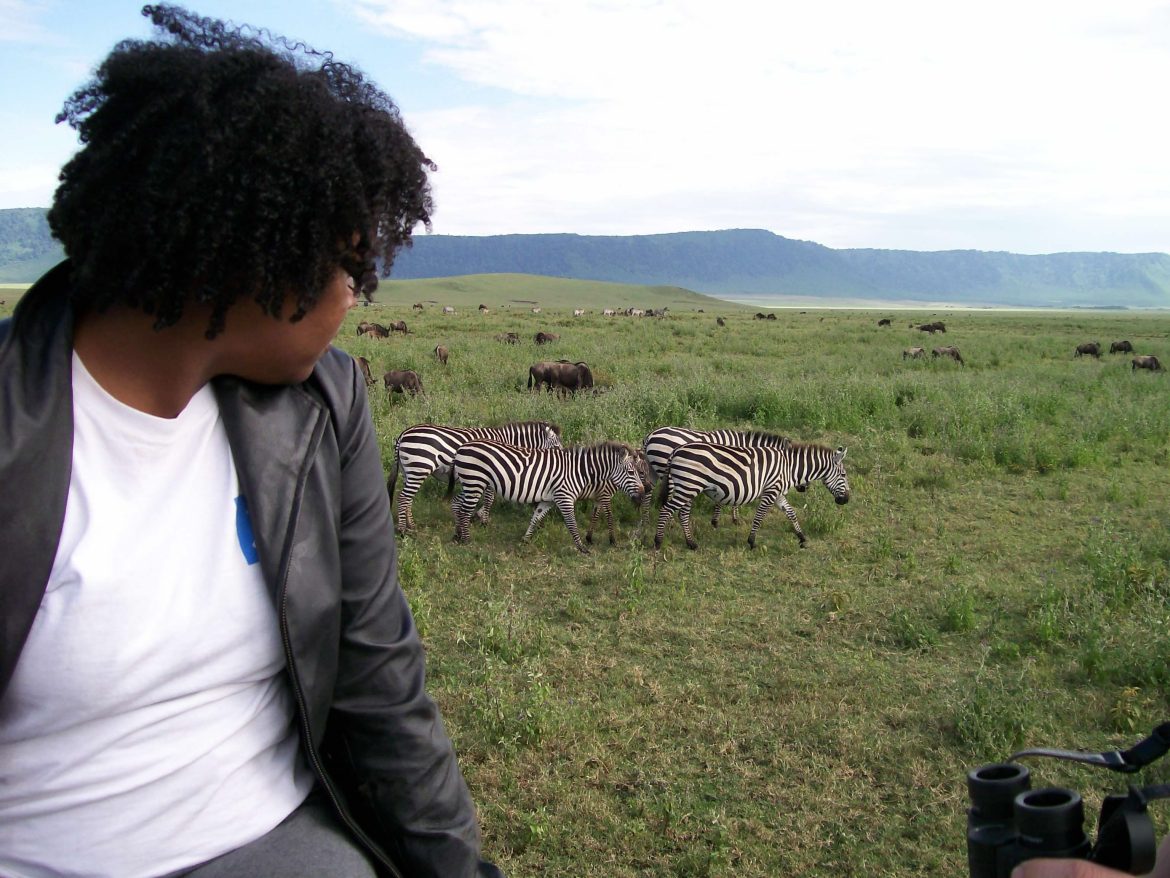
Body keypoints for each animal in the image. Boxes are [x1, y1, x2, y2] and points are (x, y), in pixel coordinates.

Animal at [387, 421, 562, 534]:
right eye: (556, 446)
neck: (508, 442)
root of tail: (404, 434)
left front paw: (477, 516)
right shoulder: (493, 473)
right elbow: (490, 499)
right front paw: (484, 521)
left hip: (409, 471)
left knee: (407, 498)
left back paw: (411, 525)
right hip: (419, 468)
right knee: (403, 498)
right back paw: (403, 529)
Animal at [451, 441, 646, 553]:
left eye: (639, 471)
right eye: (632, 472)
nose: (643, 492)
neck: (579, 471)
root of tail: (461, 447)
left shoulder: (548, 500)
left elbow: (535, 518)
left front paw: (525, 540)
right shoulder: (565, 497)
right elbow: (572, 524)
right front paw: (582, 547)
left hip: (471, 483)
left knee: (457, 504)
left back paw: (457, 535)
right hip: (475, 482)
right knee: (465, 511)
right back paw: (467, 541)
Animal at [642, 427, 800, 526]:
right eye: (791, 466)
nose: (801, 489)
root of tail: (650, 436)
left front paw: (731, 518)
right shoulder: (730, 472)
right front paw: (719, 520)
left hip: (653, 470)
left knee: (648, 492)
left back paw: (646, 519)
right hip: (665, 469)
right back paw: (669, 522)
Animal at [655, 442, 850, 550]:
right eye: (844, 475)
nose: (846, 500)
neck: (789, 468)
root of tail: (677, 450)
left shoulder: (778, 493)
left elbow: (791, 513)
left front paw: (802, 538)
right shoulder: (771, 491)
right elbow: (759, 517)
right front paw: (752, 542)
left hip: (687, 486)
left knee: (683, 513)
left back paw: (691, 544)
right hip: (688, 485)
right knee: (666, 511)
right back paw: (658, 542)